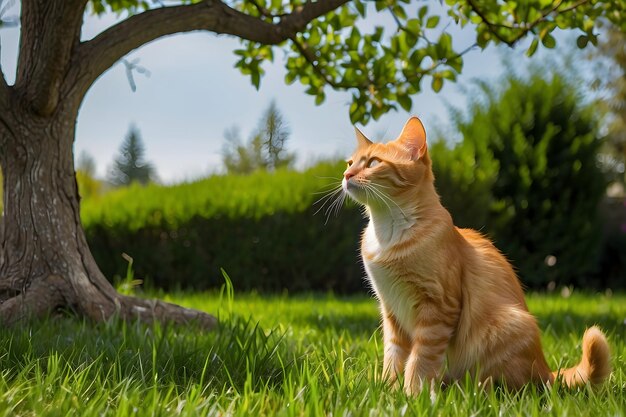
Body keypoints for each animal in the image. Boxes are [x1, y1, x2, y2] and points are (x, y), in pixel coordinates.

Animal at [342, 115, 608, 392]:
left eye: (373, 162)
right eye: (350, 163)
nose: (346, 175)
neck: (388, 233)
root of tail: (545, 370)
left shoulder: (438, 308)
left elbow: (420, 359)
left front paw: (413, 393)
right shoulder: (391, 309)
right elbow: (393, 357)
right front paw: (389, 389)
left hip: (504, 331)